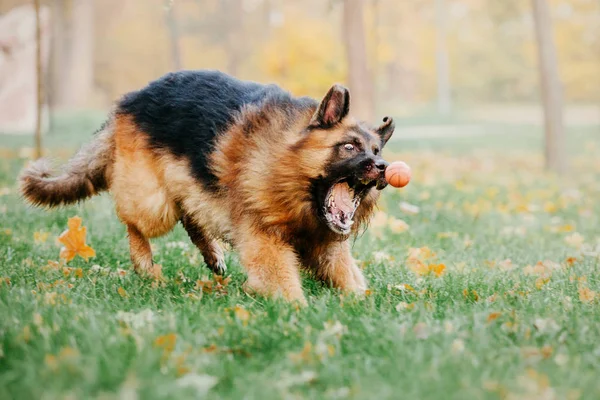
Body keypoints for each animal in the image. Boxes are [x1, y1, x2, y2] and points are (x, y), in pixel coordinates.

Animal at [19, 71, 394, 304]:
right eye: (349, 147)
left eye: (376, 151)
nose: (383, 169)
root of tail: (128, 101)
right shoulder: (265, 244)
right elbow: (284, 285)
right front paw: (300, 312)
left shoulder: (329, 249)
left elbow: (352, 281)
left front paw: (362, 304)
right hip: (154, 204)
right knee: (135, 222)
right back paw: (144, 264)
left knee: (191, 215)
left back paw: (211, 254)